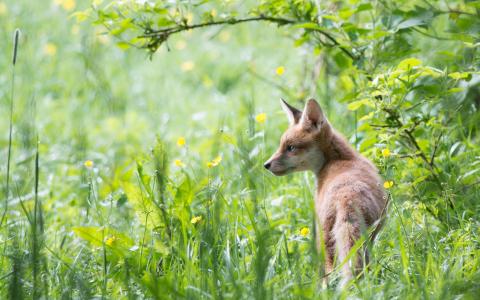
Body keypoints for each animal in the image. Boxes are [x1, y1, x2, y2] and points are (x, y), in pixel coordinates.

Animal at [264, 99, 388, 288]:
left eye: (290, 147)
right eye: (281, 146)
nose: (266, 164)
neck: (341, 159)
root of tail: (347, 197)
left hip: (325, 243)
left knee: (329, 277)